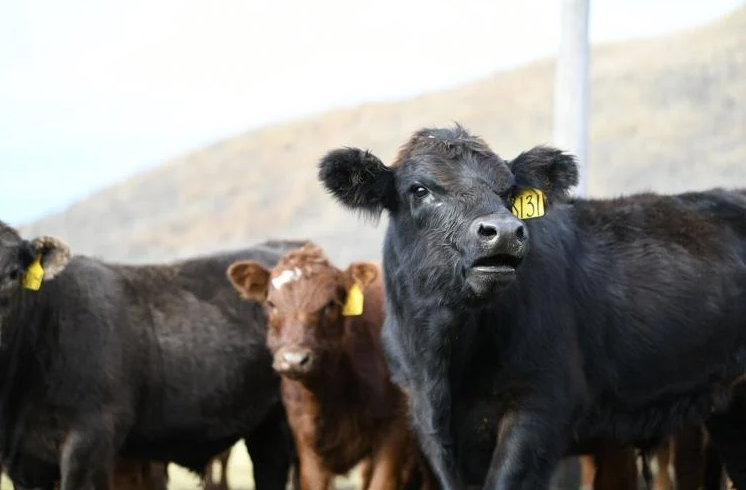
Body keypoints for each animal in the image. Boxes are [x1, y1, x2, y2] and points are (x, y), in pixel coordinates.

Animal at [316, 124, 746, 490]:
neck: (445, 358)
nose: (505, 231)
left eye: (508, 192)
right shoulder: (429, 424)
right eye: (419, 190)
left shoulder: (538, 408)